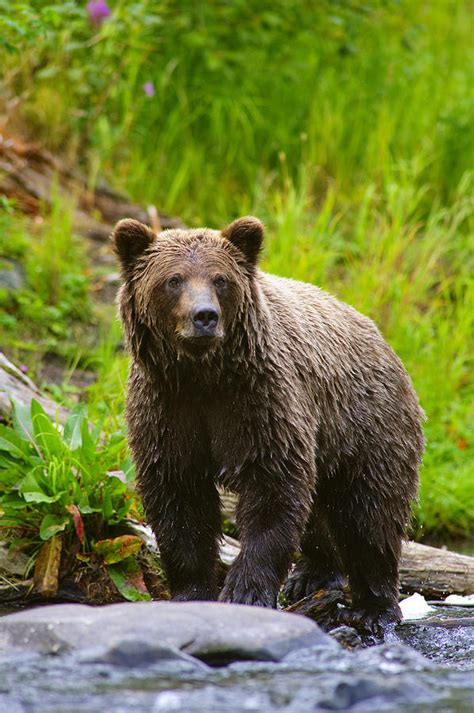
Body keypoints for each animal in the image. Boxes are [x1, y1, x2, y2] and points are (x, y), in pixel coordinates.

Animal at [112, 214, 426, 632]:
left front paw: (245, 591)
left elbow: (274, 491)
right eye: (173, 279)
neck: (203, 375)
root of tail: (382, 339)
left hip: (367, 425)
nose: (204, 316)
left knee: (369, 515)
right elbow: (180, 499)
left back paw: (371, 607)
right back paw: (312, 574)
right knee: (322, 512)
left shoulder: (261, 402)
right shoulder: (168, 409)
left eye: (220, 279)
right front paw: (191, 592)